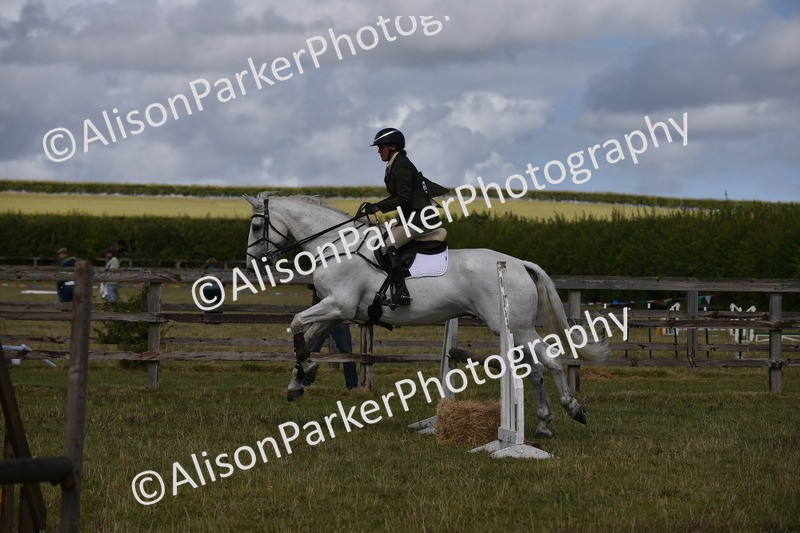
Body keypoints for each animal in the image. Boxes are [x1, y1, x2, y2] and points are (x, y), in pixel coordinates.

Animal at [244, 192, 608, 437]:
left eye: (257, 225)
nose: (250, 265)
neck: (337, 247)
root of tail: (519, 263)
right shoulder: (335, 312)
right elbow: (308, 336)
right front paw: (300, 378)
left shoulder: (337, 305)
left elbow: (296, 323)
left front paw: (304, 372)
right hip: (514, 330)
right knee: (533, 370)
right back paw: (544, 423)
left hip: (516, 328)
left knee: (550, 362)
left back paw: (574, 410)